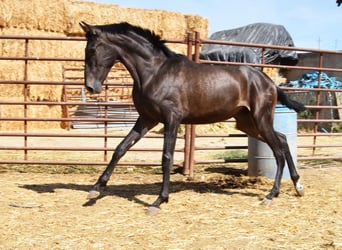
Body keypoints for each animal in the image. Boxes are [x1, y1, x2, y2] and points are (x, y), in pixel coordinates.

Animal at [79, 21, 304, 209]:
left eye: (92, 49)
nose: (91, 87)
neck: (155, 73)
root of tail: (269, 81)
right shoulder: (147, 119)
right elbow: (120, 148)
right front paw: (95, 189)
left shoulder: (171, 119)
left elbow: (166, 157)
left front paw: (159, 200)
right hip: (247, 123)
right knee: (283, 140)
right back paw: (297, 186)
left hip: (260, 119)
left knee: (278, 151)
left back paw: (271, 195)